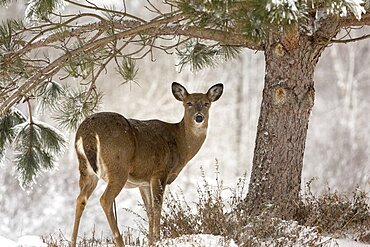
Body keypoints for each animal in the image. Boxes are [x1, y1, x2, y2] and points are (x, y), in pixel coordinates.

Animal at [71, 82, 223, 246]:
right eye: (188, 103)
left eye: (207, 103)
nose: (199, 117)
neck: (180, 143)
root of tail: (88, 132)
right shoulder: (160, 172)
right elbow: (157, 207)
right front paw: (158, 239)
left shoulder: (143, 182)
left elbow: (149, 210)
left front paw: (151, 240)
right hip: (118, 167)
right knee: (105, 199)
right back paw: (120, 241)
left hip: (85, 169)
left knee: (80, 199)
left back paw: (72, 242)